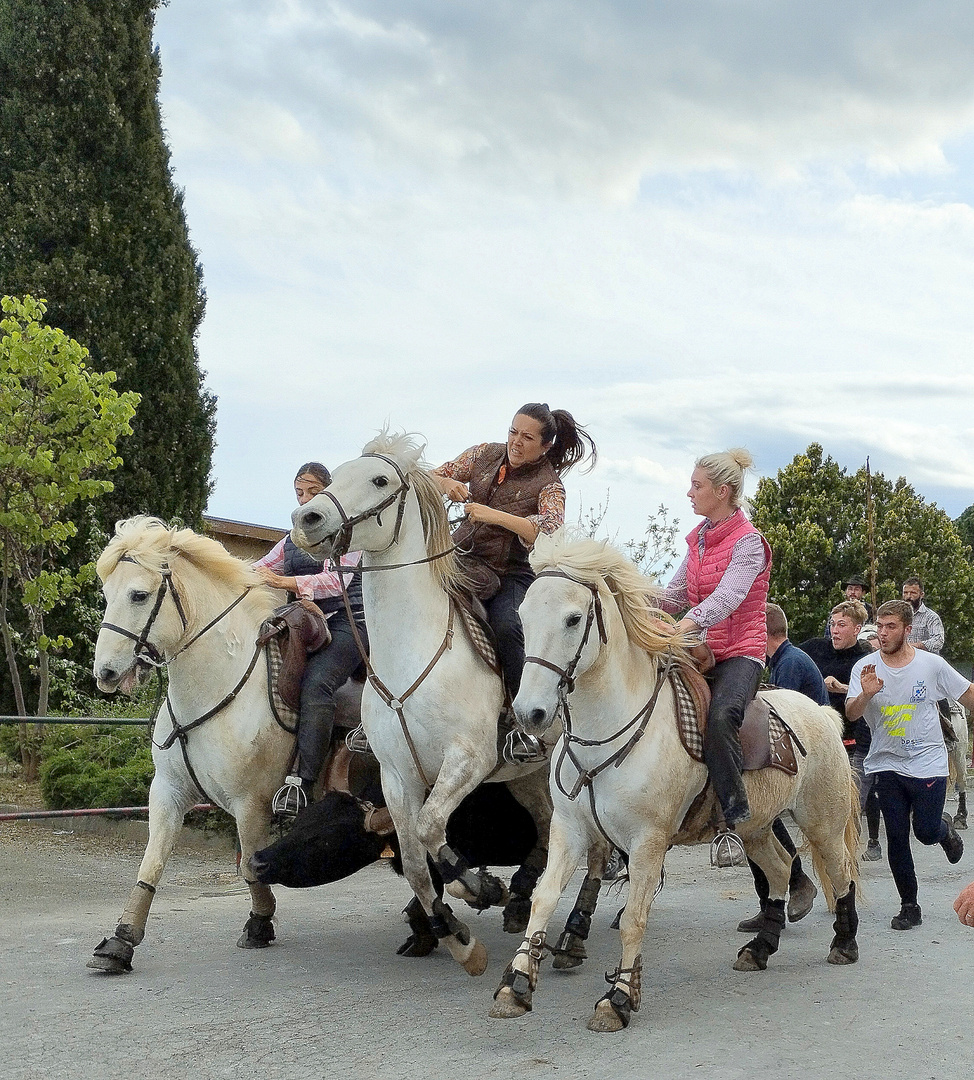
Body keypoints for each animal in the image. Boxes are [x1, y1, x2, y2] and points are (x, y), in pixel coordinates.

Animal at [293, 432, 557, 980]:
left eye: (379, 480)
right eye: (338, 473)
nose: (306, 519)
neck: (412, 648)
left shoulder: (468, 760)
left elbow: (432, 827)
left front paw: (476, 886)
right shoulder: (397, 777)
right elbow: (415, 860)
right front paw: (460, 938)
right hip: (528, 774)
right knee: (543, 825)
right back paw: (521, 895)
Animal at [496, 535, 863, 1032]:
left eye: (573, 618)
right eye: (524, 616)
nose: (530, 713)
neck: (606, 732)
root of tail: (822, 712)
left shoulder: (648, 841)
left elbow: (633, 918)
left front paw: (618, 998)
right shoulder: (569, 830)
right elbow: (544, 898)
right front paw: (515, 985)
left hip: (822, 822)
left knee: (840, 873)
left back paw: (844, 943)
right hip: (755, 827)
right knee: (780, 869)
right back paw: (760, 949)